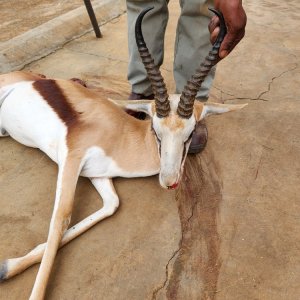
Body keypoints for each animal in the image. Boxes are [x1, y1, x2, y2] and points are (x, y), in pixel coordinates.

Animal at [0, 7, 246, 300]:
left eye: (190, 133)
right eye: (155, 130)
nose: (169, 181)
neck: (121, 134)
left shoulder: (98, 174)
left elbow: (110, 206)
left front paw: (5, 266)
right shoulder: (72, 157)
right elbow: (61, 219)